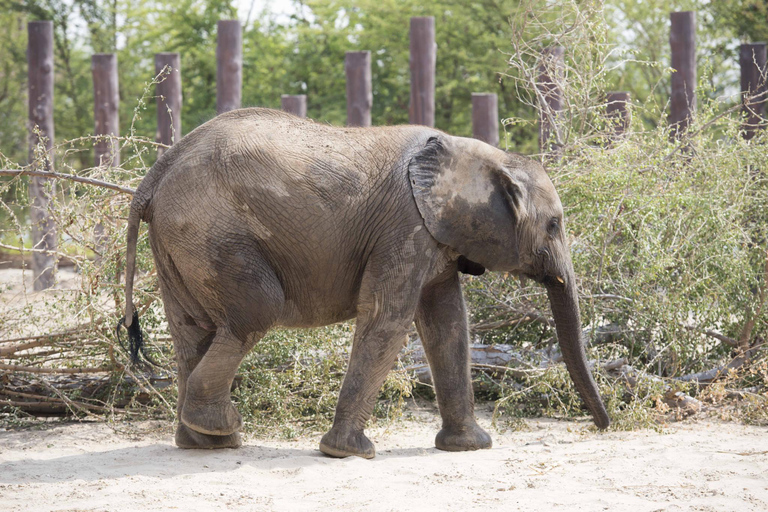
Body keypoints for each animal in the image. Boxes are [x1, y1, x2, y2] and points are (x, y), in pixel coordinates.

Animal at [120, 108, 608, 460]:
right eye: (554, 225)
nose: (602, 426)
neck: (480, 153)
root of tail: (155, 174)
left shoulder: (433, 235)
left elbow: (447, 322)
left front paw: (471, 447)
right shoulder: (405, 226)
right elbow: (388, 318)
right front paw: (348, 453)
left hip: (179, 240)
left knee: (191, 330)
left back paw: (203, 442)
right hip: (211, 232)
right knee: (259, 309)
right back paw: (221, 428)